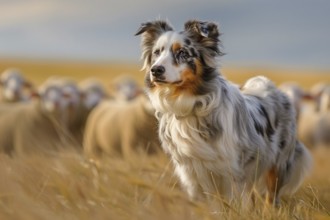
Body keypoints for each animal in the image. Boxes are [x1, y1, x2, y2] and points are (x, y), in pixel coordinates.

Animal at [135, 18, 312, 206]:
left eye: (182, 52)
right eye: (157, 52)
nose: (156, 70)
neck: (191, 105)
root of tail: (274, 89)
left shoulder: (232, 173)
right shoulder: (191, 174)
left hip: (277, 166)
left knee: (271, 199)